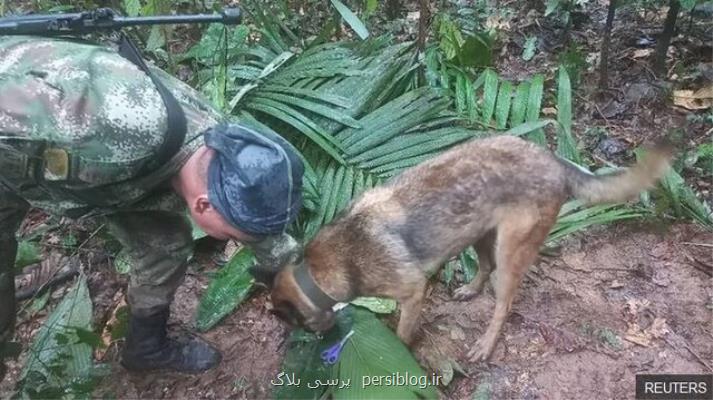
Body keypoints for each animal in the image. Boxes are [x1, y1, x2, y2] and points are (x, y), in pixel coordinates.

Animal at [268, 135, 672, 362]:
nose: (317, 342)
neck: (317, 271)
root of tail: (554, 160)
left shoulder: (412, 293)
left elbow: (401, 334)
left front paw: (400, 352)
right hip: (478, 232)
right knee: (485, 266)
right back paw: (470, 289)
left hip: (511, 252)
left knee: (503, 302)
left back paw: (486, 345)